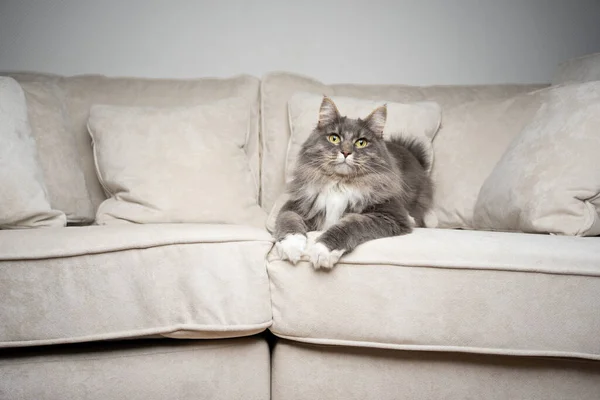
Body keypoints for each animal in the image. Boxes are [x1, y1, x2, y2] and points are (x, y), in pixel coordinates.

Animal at [274, 95, 434, 268]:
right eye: (334, 138)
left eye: (361, 142)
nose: (345, 152)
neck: (339, 184)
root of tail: (411, 153)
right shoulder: (298, 205)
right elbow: (288, 220)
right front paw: (292, 246)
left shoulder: (391, 215)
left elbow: (350, 224)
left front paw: (322, 250)